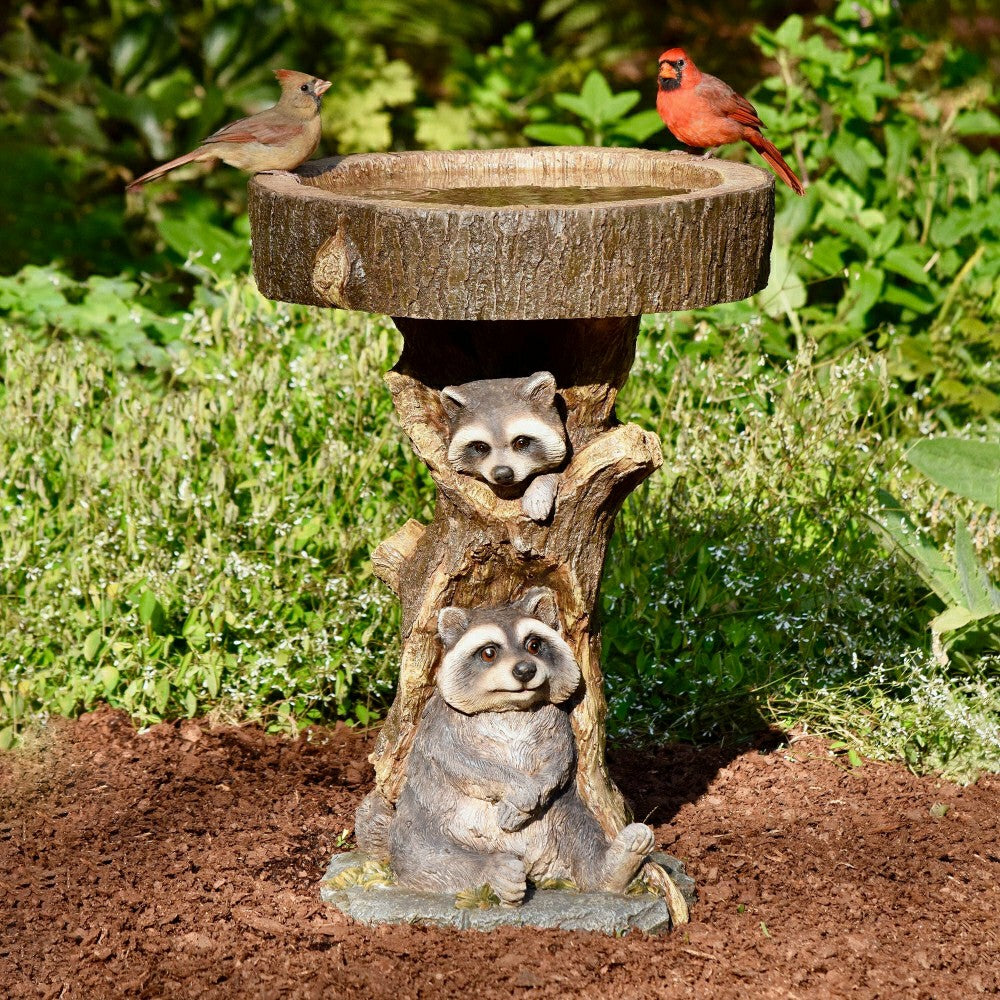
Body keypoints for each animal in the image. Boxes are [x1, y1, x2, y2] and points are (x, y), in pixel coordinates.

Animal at [355, 588, 655, 905]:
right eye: (489, 652)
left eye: (534, 645)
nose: (525, 670)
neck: (510, 706)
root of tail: (534, 864)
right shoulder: (441, 721)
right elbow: (461, 761)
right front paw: (518, 790)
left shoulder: (556, 718)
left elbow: (560, 757)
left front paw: (535, 789)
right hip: (421, 823)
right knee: (424, 857)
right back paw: (495, 871)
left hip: (564, 814)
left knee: (581, 834)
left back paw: (615, 864)